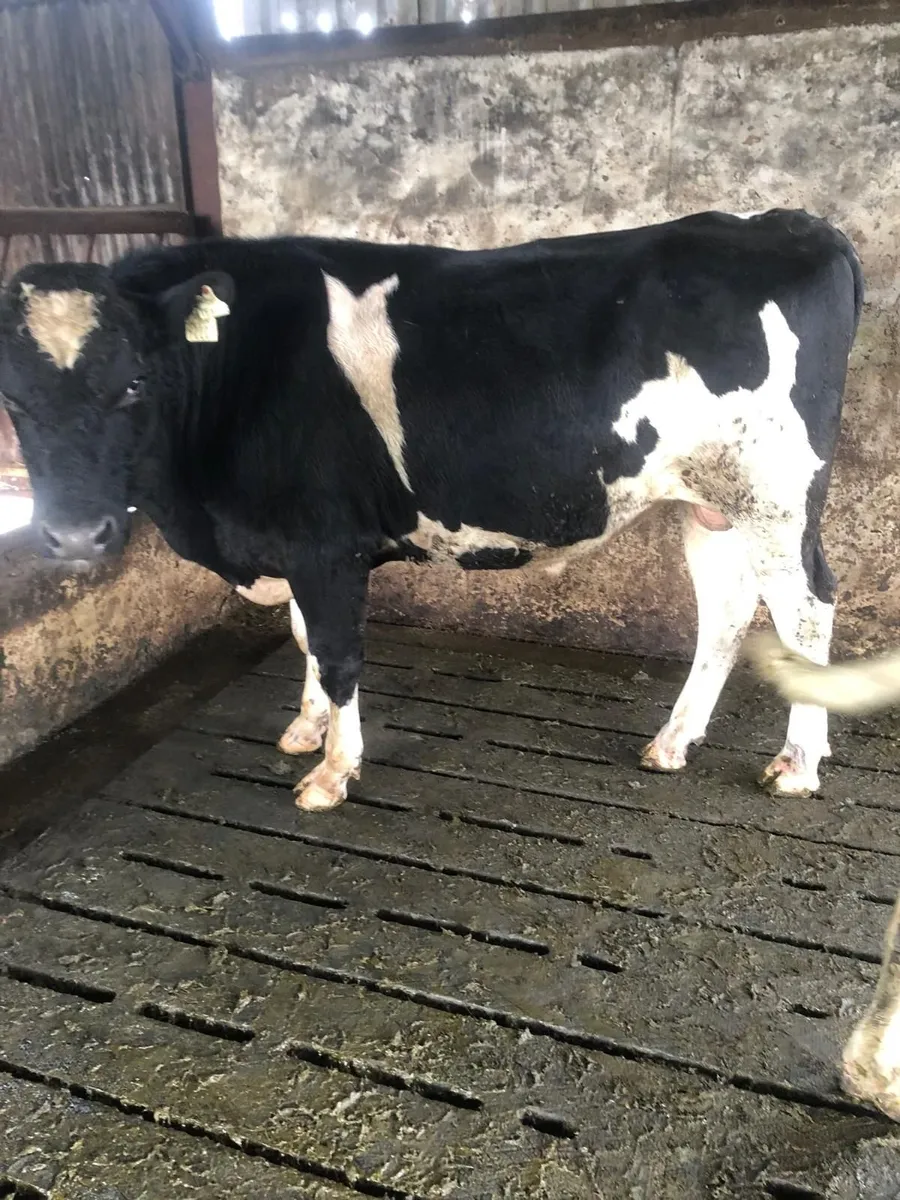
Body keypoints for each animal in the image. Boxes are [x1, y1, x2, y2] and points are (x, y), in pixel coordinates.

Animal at [0, 210, 862, 813]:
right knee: (725, 610)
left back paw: (797, 765)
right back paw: (674, 740)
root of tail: (784, 221)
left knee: (806, 610)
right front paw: (307, 730)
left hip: (777, 493)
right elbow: (305, 639)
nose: (73, 535)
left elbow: (337, 653)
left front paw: (333, 772)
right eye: (11, 397)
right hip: (714, 501)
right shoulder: (296, 546)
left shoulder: (324, 544)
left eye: (134, 382)